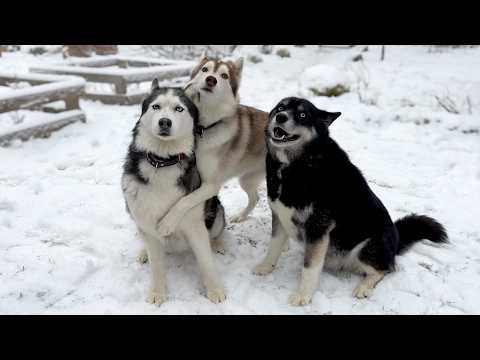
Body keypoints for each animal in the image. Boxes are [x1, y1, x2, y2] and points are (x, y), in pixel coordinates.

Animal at [253, 96, 448, 306]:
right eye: (280, 107)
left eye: (303, 114)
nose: (280, 117)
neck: (296, 165)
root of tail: (396, 241)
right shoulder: (280, 217)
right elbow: (273, 247)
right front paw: (266, 267)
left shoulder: (318, 230)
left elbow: (310, 268)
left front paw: (303, 295)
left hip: (367, 247)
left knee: (385, 269)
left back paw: (364, 287)